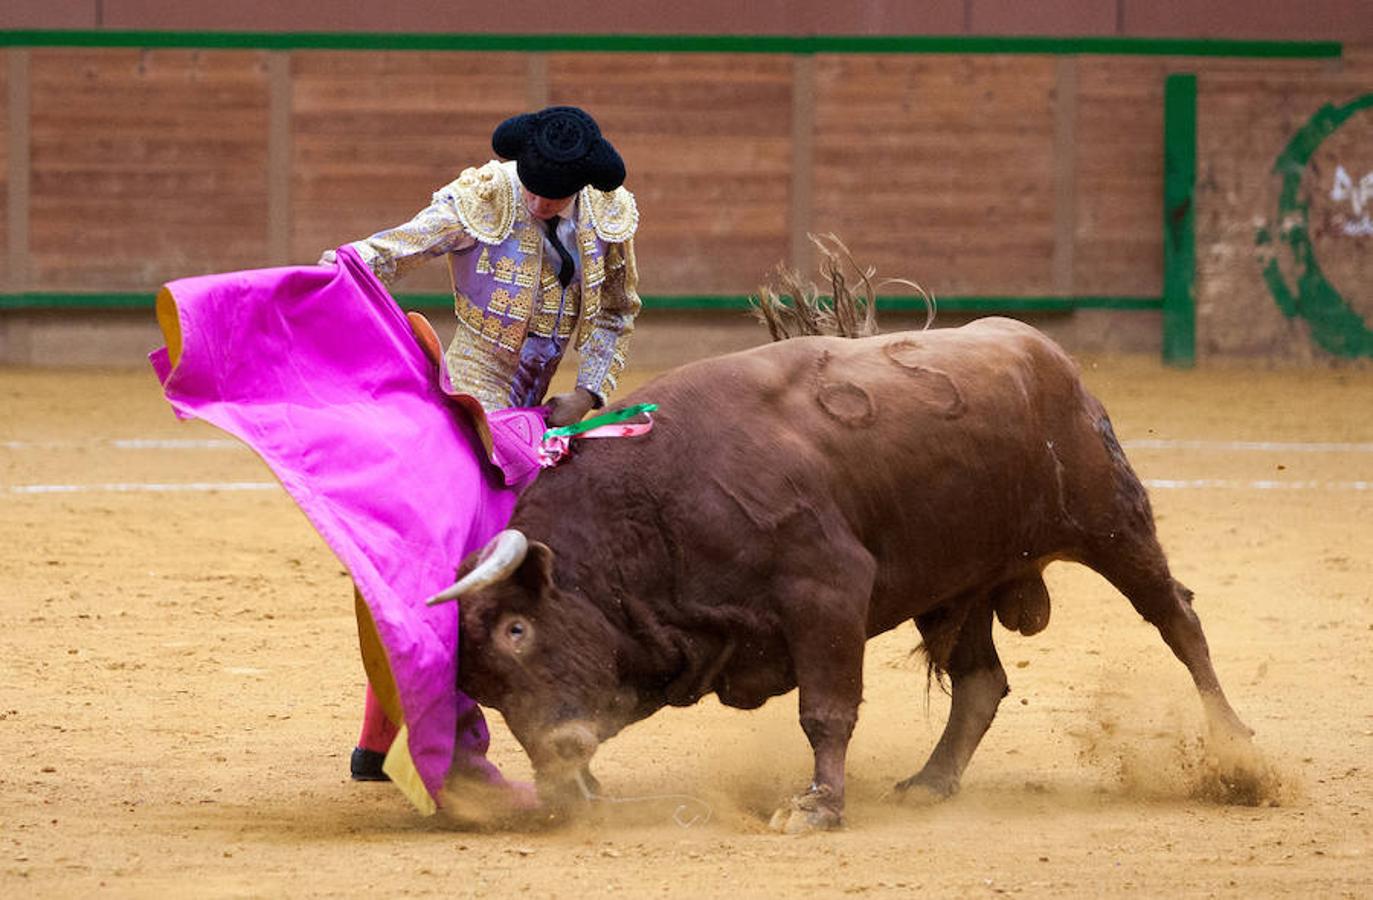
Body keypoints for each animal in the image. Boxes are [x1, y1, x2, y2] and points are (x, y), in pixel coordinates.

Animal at [428, 314, 1257, 829]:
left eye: (517, 628)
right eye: (479, 685)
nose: (557, 763)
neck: (649, 505)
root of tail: (1045, 354)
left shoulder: (827, 591)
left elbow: (825, 709)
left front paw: (817, 806)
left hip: (1111, 521)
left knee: (1177, 620)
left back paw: (1238, 754)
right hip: (959, 585)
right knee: (981, 681)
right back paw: (930, 782)